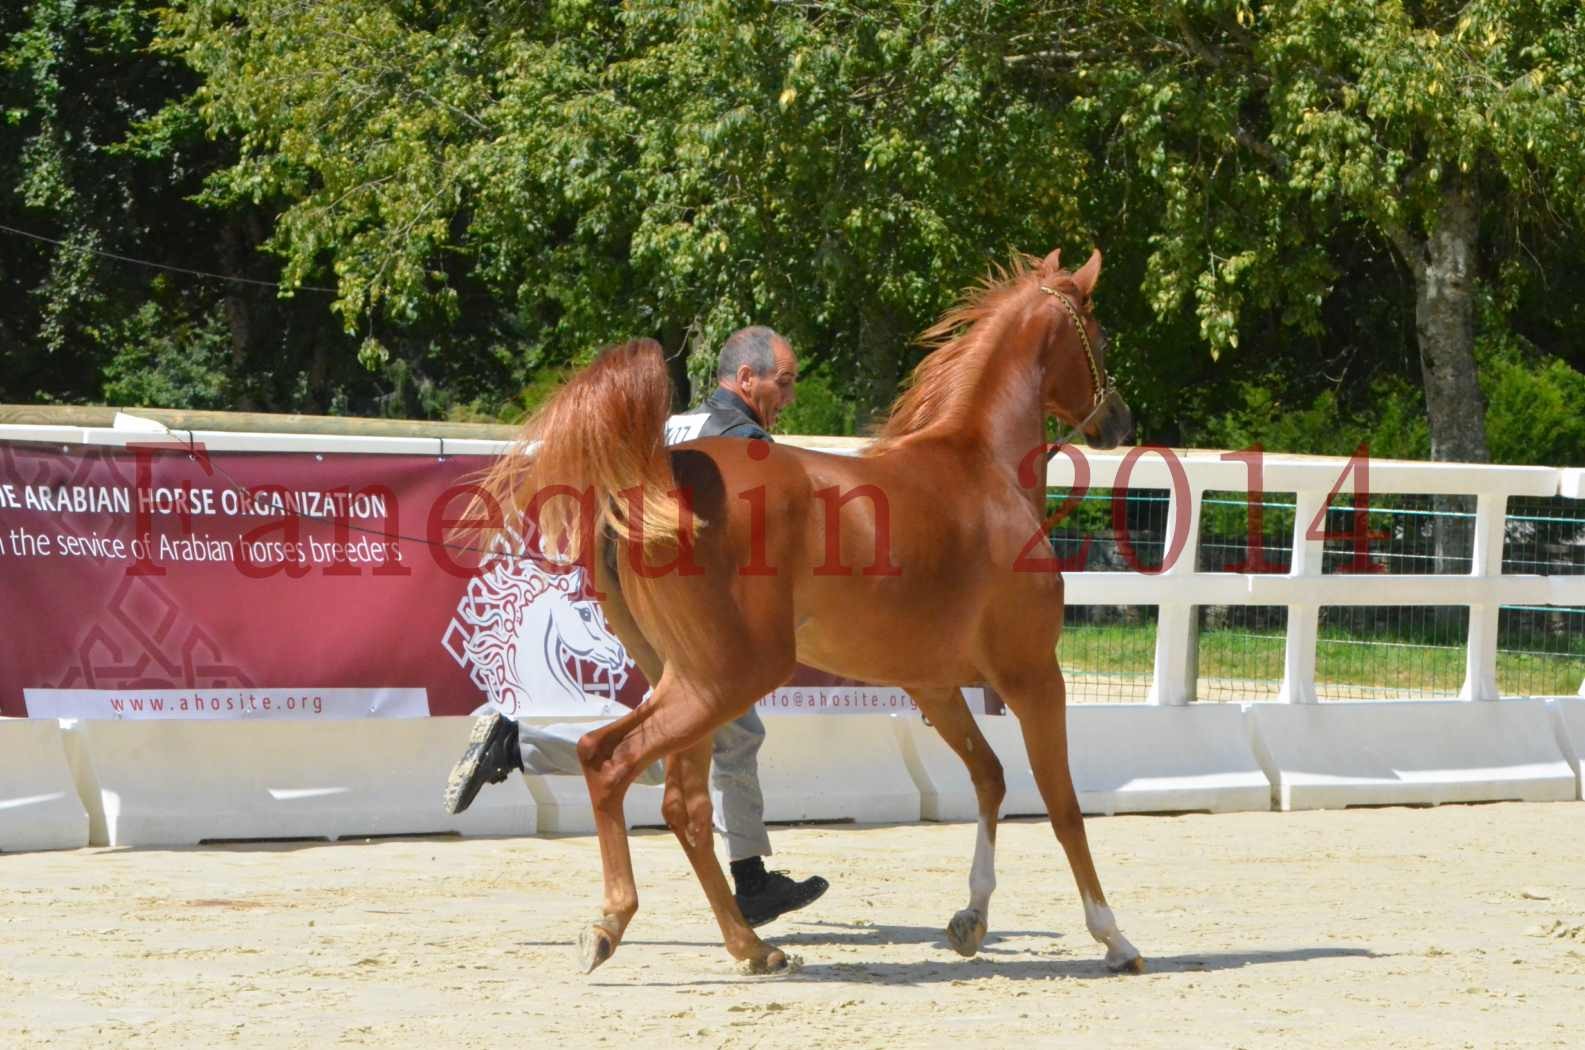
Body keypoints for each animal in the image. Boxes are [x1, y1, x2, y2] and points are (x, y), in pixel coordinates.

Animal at [469, 247, 1141, 977]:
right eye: (1101, 335)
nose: (1120, 422)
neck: (980, 472)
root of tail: (657, 475)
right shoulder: (1033, 676)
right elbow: (1061, 804)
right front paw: (1113, 937)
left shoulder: (933, 686)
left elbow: (988, 780)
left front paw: (971, 920)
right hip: (727, 679)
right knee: (610, 761)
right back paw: (614, 924)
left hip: (687, 679)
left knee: (677, 799)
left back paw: (749, 945)